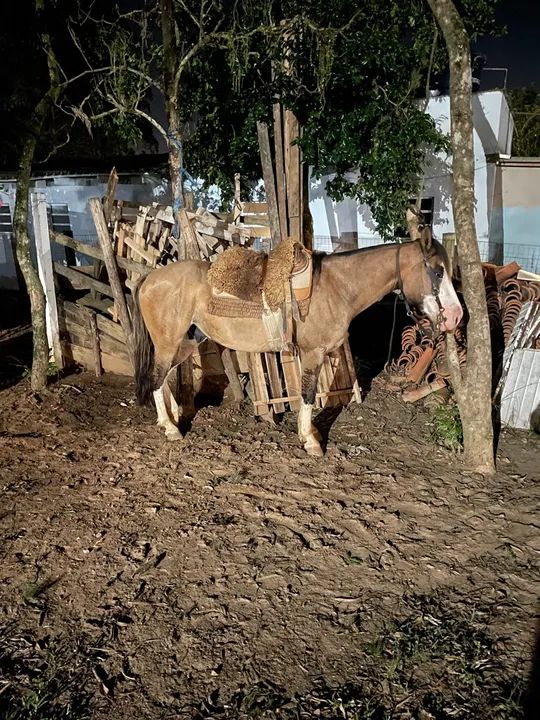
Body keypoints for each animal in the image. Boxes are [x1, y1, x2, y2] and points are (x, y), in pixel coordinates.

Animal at [131, 229, 463, 456]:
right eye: (437, 271)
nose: (456, 316)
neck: (336, 287)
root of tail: (149, 279)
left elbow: (309, 394)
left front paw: (310, 431)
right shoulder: (313, 354)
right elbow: (307, 394)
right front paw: (311, 441)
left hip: (184, 342)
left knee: (164, 376)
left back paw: (173, 416)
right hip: (168, 342)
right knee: (157, 378)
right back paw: (171, 428)